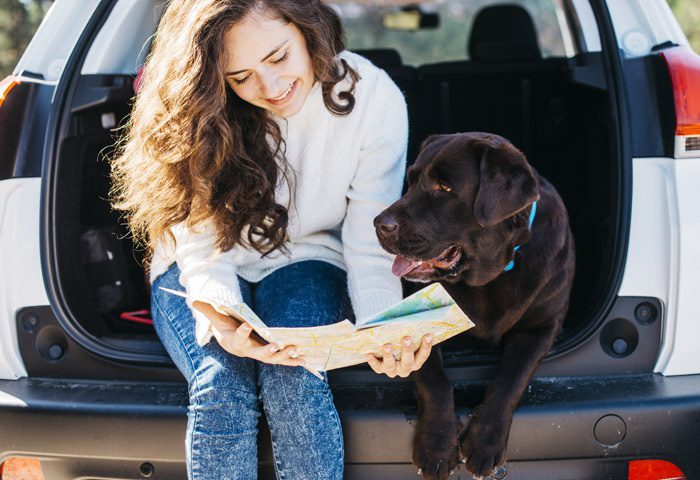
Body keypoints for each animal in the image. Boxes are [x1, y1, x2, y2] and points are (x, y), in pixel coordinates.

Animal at [372, 132, 576, 480]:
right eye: (411, 181)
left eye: (444, 188)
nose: (378, 223)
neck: (491, 275)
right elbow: (434, 381)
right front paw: (437, 446)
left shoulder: (542, 326)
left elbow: (512, 378)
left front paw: (485, 442)